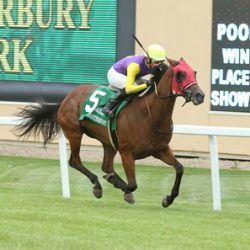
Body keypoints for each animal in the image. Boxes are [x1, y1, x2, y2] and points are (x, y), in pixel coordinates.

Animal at [15, 58, 204, 207]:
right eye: (180, 74)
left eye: (194, 72)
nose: (200, 95)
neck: (150, 115)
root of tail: (65, 99)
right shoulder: (127, 152)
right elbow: (133, 184)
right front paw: (119, 186)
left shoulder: (160, 150)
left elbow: (180, 168)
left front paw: (168, 199)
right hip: (74, 133)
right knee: (75, 161)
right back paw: (98, 186)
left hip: (109, 142)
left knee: (106, 165)